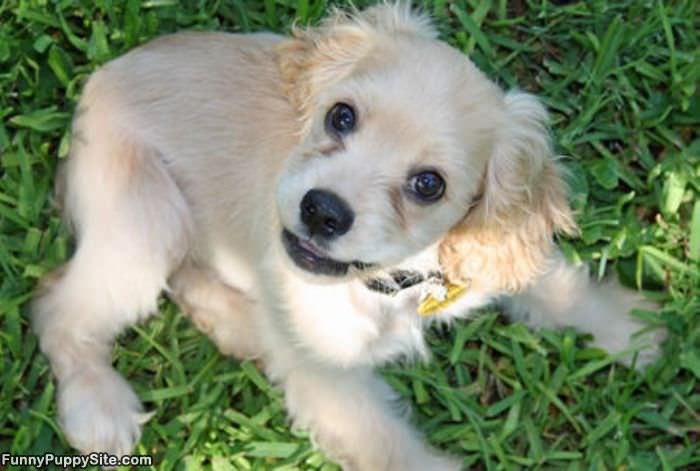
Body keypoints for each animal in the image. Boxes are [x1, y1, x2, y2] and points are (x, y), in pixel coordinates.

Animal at [32, 2, 664, 468]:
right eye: (341, 116)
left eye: (428, 184)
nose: (322, 212)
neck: (393, 283)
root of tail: (92, 89)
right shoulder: (330, 381)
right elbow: (393, 450)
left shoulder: (489, 256)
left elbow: (558, 285)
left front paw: (635, 329)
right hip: (147, 220)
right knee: (56, 305)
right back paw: (99, 406)